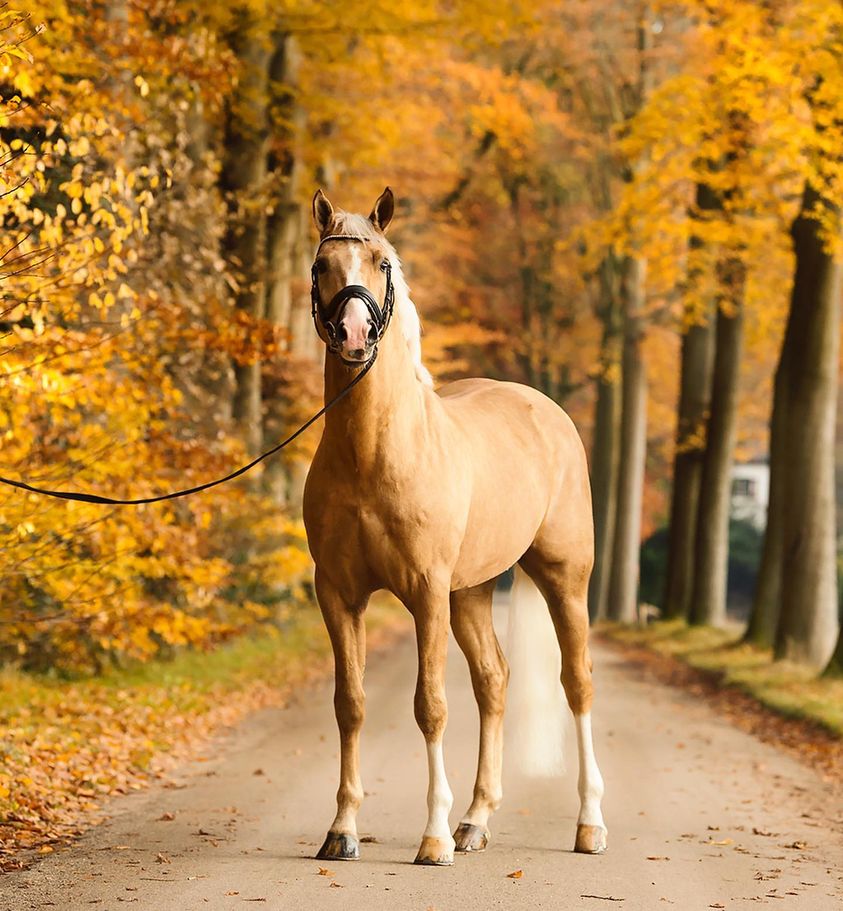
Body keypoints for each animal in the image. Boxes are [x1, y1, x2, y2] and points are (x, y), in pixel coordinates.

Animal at [304, 189, 608, 864]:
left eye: (382, 263)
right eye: (321, 266)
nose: (354, 334)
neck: (373, 453)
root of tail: (543, 407)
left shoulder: (426, 591)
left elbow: (431, 706)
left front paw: (432, 837)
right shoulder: (338, 594)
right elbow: (350, 704)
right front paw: (342, 830)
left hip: (562, 580)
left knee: (577, 684)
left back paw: (589, 824)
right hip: (470, 593)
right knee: (494, 681)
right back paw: (476, 820)